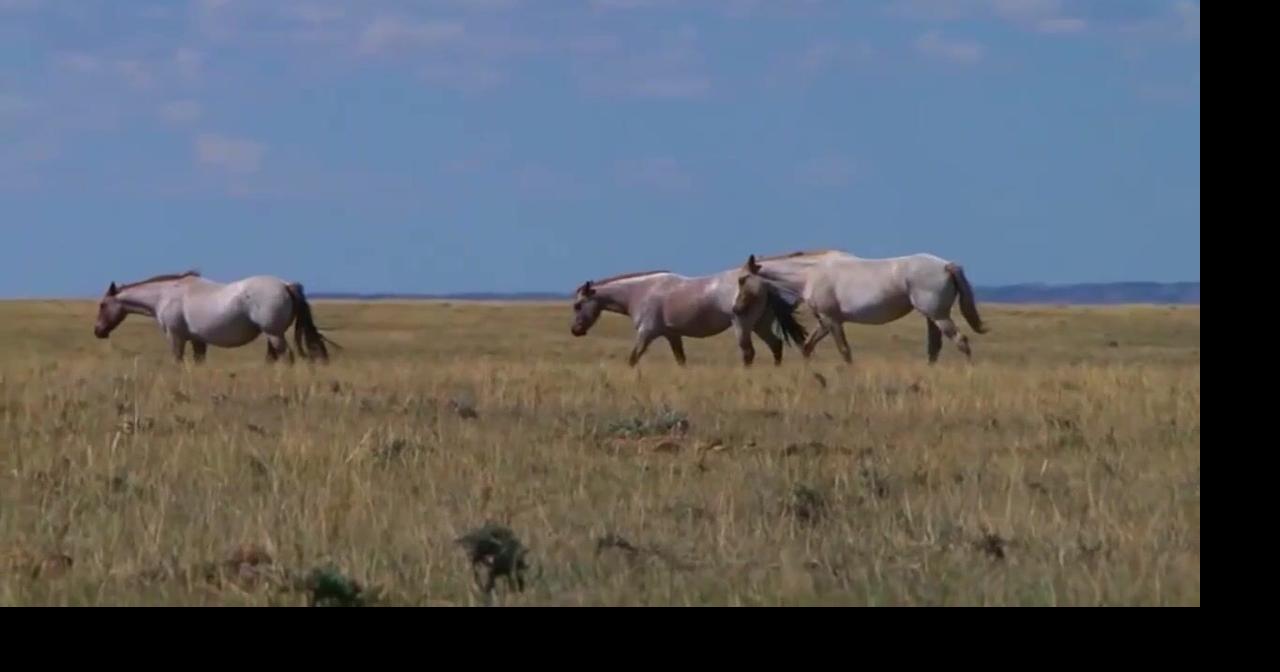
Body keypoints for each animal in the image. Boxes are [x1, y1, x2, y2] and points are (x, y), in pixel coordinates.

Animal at [92, 270, 336, 364]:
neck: (165, 295)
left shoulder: (176, 337)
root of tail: (286, 285)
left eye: (103, 305)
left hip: (274, 334)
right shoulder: (198, 341)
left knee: (286, 358)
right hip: (271, 335)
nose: (98, 331)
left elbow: (177, 360)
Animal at [569, 257, 809, 367]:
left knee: (749, 352)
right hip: (760, 324)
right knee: (776, 345)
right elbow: (680, 359)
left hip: (743, 325)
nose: (575, 330)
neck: (640, 292)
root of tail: (763, 284)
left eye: (578, 305)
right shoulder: (672, 335)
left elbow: (633, 357)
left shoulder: (646, 333)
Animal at [736, 249, 987, 364]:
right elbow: (807, 347)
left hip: (939, 316)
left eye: (741, 279)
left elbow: (845, 351)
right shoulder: (825, 322)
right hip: (931, 317)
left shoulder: (832, 321)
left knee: (961, 341)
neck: (810, 274)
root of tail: (946, 265)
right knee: (934, 348)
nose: (736, 308)